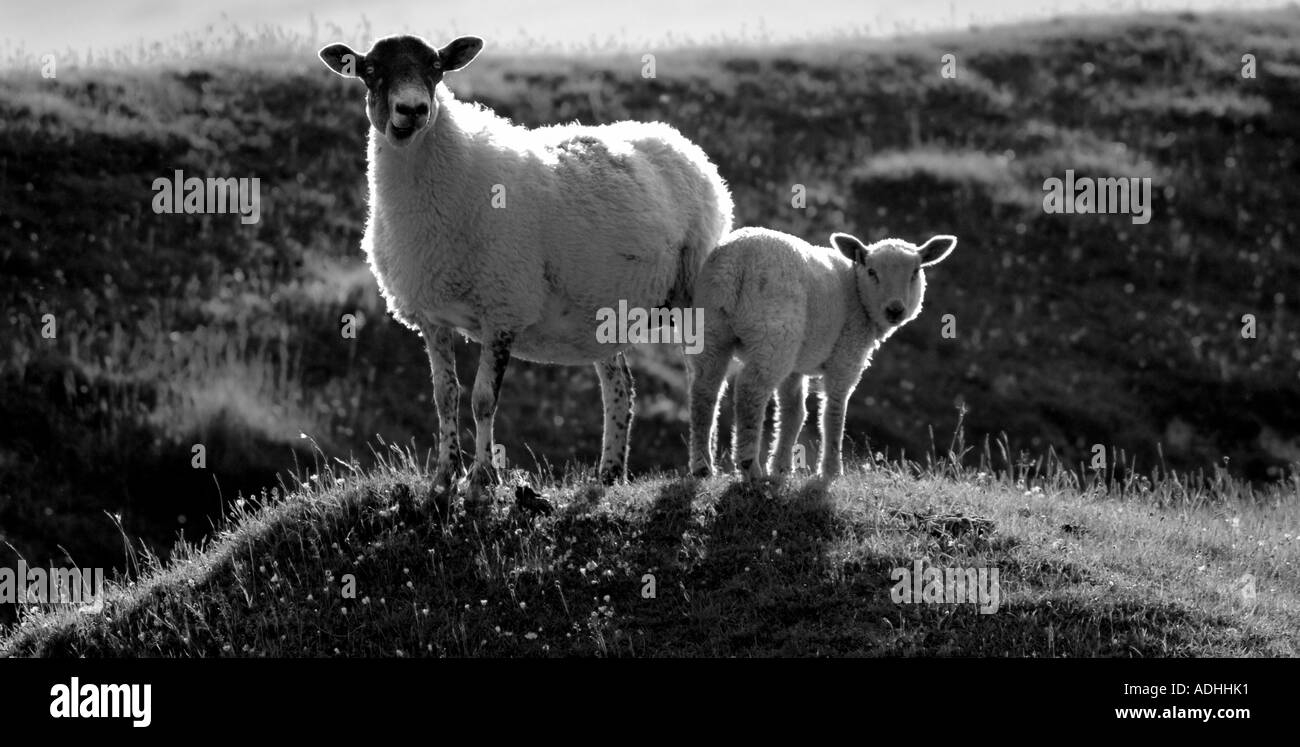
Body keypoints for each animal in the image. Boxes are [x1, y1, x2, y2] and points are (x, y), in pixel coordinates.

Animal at [317, 33, 733, 509]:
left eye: (436, 69)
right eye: (371, 71)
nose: (413, 110)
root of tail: (681, 142)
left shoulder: (502, 309)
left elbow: (482, 399)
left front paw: (481, 480)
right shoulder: (431, 316)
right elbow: (445, 398)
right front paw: (442, 480)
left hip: (693, 291)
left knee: (703, 380)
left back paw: (700, 467)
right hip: (603, 310)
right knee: (620, 387)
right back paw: (609, 474)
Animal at [691, 228, 956, 483]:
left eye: (915, 272)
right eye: (872, 271)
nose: (895, 310)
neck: (857, 292)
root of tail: (738, 259)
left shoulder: (797, 363)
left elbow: (794, 412)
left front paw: (782, 468)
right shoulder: (846, 355)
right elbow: (834, 413)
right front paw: (830, 471)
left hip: (711, 325)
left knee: (705, 391)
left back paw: (703, 466)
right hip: (774, 332)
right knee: (749, 393)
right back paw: (750, 468)